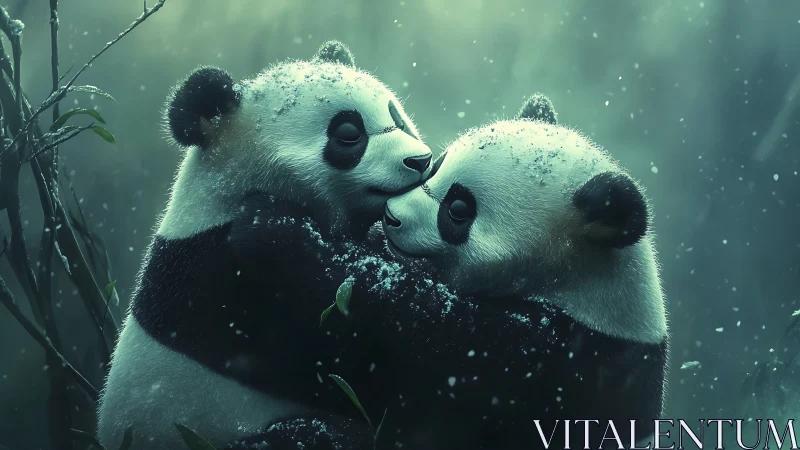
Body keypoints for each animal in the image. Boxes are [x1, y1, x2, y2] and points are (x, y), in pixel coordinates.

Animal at [96, 40, 432, 450]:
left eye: (396, 116)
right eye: (349, 133)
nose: (421, 160)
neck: (225, 199)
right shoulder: (233, 289)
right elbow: (350, 359)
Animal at [214, 94, 670, 450]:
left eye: (458, 209)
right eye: (435, 168)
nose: (391, 217)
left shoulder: (542, 364)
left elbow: (408, 324)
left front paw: (272, 225)